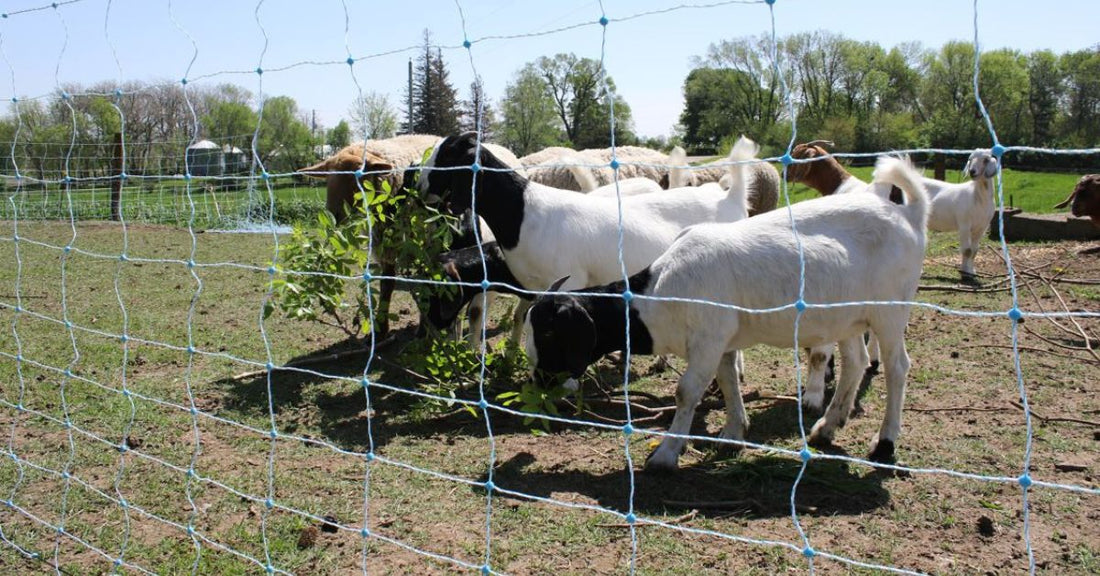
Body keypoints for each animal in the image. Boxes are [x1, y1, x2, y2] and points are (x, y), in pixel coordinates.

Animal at [523, 155, 929, 470]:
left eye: (549, 331)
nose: (539, 383)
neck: (658, 291)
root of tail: (911, 213)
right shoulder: (722, 342)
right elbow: (730, 380)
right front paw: (733, 433)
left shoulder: (708, 338)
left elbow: (687, 392)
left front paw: (666, 454)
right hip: (848, 317)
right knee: (855, 362)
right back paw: (827, 427)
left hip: (891, 311)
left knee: (897, 367)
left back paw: (885, 444)